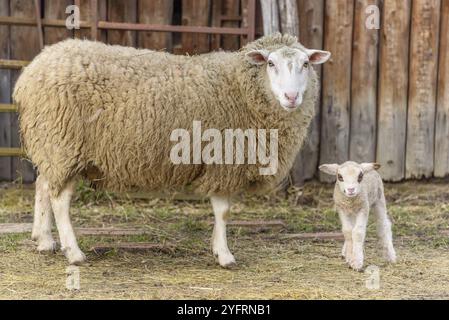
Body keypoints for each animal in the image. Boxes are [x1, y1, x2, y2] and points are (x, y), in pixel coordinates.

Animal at [13, 33, 328, 266]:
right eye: (270, 63)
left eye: (306, 64)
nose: (291, 97)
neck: (240, 87)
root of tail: (31, 72)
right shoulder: (223, 161)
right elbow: (223, 211)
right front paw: (224, 255)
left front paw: (218, 249)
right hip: (63, 143)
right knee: (59, 199)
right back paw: (73, 252)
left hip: (52, 145)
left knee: (43, 185)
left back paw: (43, 240)